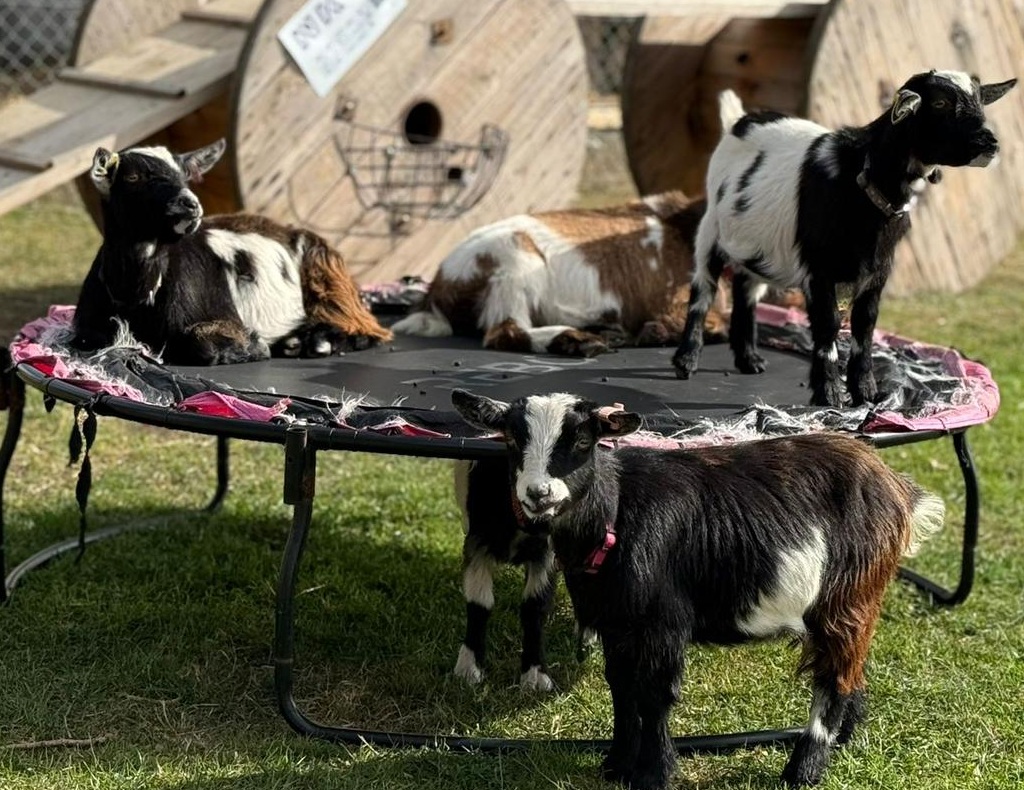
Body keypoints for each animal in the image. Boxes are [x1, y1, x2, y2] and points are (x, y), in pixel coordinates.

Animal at [71, 140, 392, 364]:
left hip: (326, 276)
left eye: (185, 176)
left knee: (368, 327)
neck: (135, 291)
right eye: (133, 177)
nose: (190, 204)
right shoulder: (87, 332)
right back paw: (298, 342)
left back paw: (319, 342)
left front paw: (254, 346)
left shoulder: (221, 321)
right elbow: (90, 338)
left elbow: (202, 345)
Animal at [392, 192, 729, 357]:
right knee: (505, 331)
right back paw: (578, 342)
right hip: (515, 261)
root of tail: (438, 288)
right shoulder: (673, 303)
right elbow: (715, 325)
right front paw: (653, 333)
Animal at [452, 389, 944, 789]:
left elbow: (655, 695)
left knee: (833, 678)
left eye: (583, 441)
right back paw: (845, 739)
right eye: (512, 440)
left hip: (848, 597)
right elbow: (621, 688)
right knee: (852, 671)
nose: (538, 494)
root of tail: (898, 491)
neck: (616, 513)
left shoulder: (663, 622)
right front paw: (615, 765)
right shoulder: (616, 622)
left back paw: (803, 769)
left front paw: (652, 774)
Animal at [672, 70, 1016, 407]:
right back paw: (686, 361)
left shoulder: (878, 272)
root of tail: (739, 120)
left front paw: (866, 392)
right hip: (711, 231)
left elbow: (865, 326)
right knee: (703, 289)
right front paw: (829, 393)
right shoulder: (818, 270)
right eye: (941, 103)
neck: (862, 177)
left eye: (979, 100)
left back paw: (749, 360)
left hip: (757, 243)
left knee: (745, 289)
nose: (990, 143)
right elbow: (829, 325)